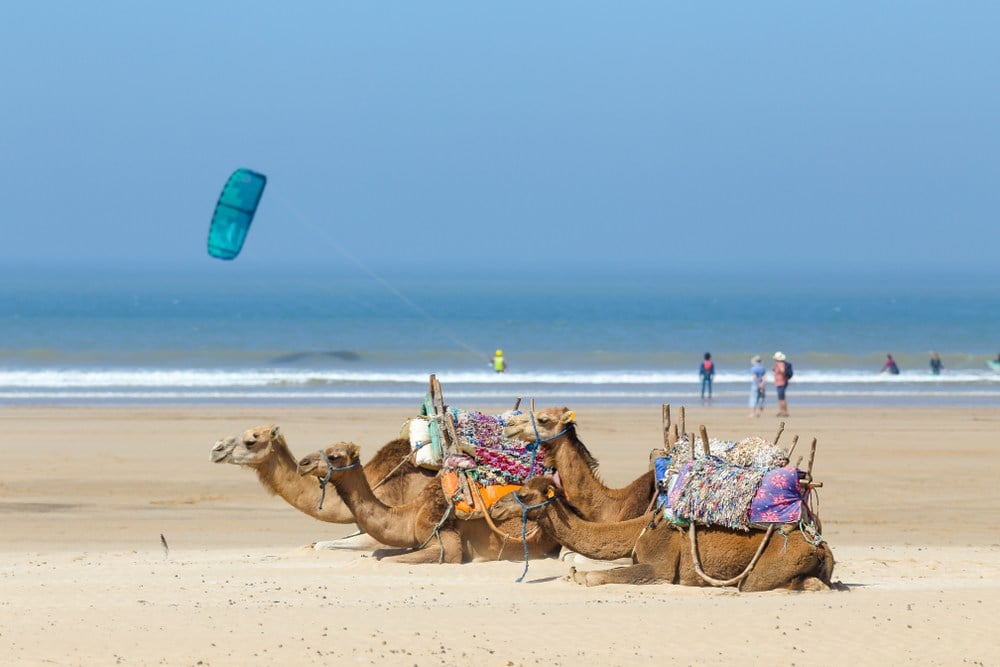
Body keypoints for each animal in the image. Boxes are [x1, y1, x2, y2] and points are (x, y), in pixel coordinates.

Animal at [296, 440, 564, 568]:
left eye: (334, 456)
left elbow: (388, 560)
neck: (411, 513)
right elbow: (380, 553)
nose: (303, 463)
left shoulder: (447, 543)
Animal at [488, 478, 832, 592]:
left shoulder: (661, 565)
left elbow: (601, 576)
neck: (637, 530)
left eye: (525, 494)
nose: (495, 508)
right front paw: (571, 572)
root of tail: (822, 548)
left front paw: (580, 575)